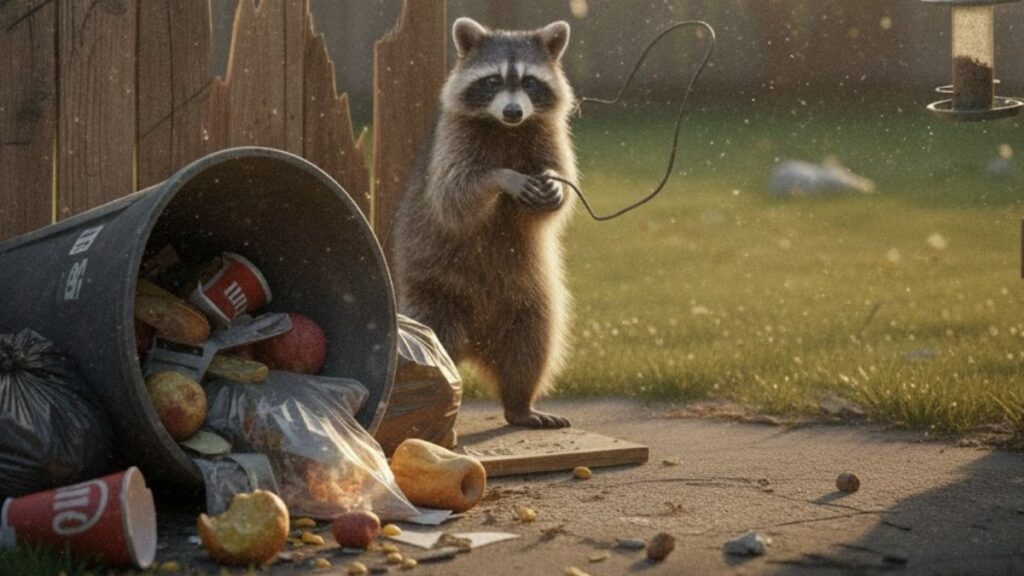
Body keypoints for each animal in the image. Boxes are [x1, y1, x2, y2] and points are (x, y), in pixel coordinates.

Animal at [391, 18, 578, 429]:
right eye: (493, 80)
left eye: (529, 82)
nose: (513, 112)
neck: (506, 128)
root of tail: (475, 345)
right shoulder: (453, 140)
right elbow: (453, 195)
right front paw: (503, 177)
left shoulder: (550, 135)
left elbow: (561, 187)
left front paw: (555, 185)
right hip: (432, 293)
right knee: (432, 338)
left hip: (528, 299)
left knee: (533, 343)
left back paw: (519, 404)